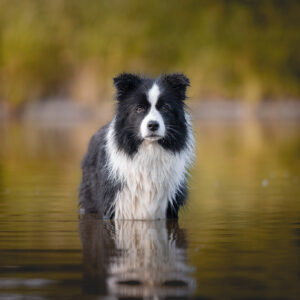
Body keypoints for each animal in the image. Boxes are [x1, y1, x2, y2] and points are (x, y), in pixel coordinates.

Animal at [78, 72, 195, 219]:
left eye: (165, 108)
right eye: (139, 108)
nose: (153, 125)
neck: (149, 150)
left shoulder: (169, 205)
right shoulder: (114, 202)